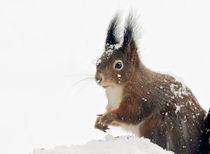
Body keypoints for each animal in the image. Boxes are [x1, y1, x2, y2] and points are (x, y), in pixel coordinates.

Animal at [94, 13, 209, 154]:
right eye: (98, 61)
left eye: (118, 65)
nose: (98, 79)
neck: (115, 89)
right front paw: (99, 121)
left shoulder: (141, 97)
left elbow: (131, 114)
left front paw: (108, 117)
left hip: (160, 125)